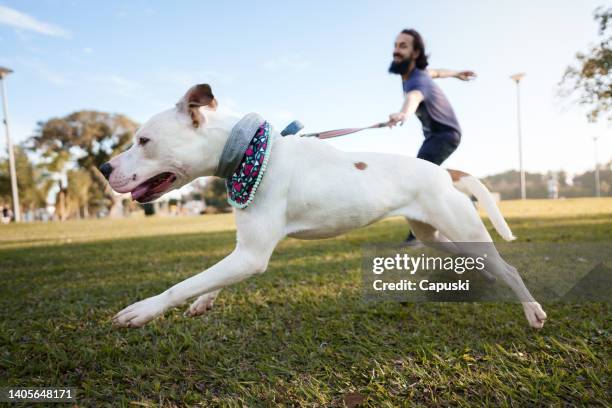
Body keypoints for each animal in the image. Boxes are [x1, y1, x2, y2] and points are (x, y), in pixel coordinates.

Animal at [103, 84, 548, 330]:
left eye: (143, 141)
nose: (104, 167)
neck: (248, 152)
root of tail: (445, 171)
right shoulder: (243, 251)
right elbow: (208, 279)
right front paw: (203, 302)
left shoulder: (251, 256)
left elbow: (183, 283)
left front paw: (143, 310)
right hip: (435, 234)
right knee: (475, 259)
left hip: (464, 230)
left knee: (507, 267)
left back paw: (532, 311)